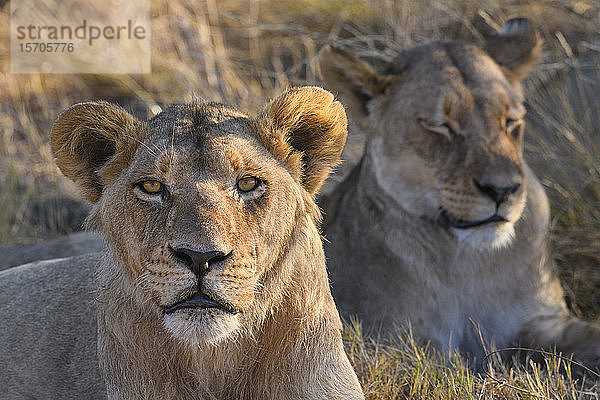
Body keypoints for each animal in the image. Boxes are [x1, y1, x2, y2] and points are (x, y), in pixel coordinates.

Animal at [322, 18, 600, 368]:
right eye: (440, 125)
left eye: (511, 121)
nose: (502, 189)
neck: (468, 263)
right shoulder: (397, 342)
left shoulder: (543, 321)